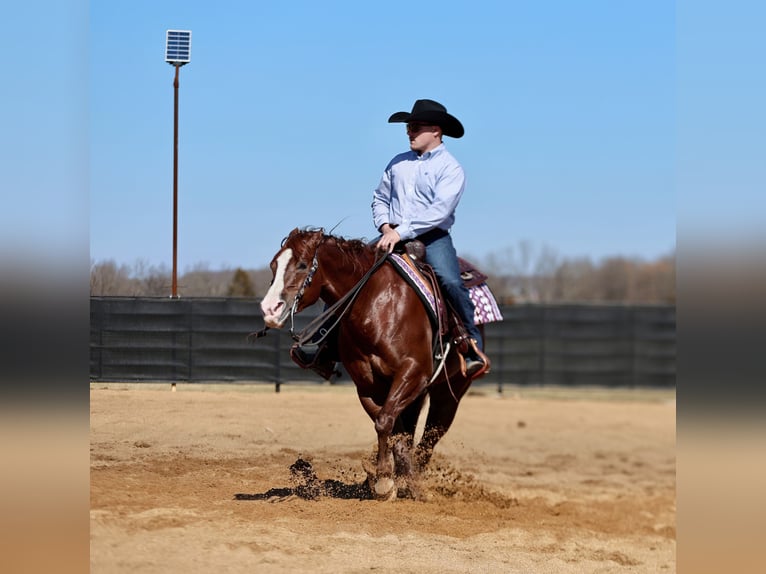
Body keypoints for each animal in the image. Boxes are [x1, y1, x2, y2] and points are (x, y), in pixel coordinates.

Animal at [264, 227, 480, 502]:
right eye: (274, 264)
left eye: (302, 264)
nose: (269, 309)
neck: (376, 307)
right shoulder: (367, 384)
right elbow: (391, 427)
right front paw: (388, 478)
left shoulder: (413, 371)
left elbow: (386, 422)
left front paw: (388, 481)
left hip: (449, 393)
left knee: (430, 439)